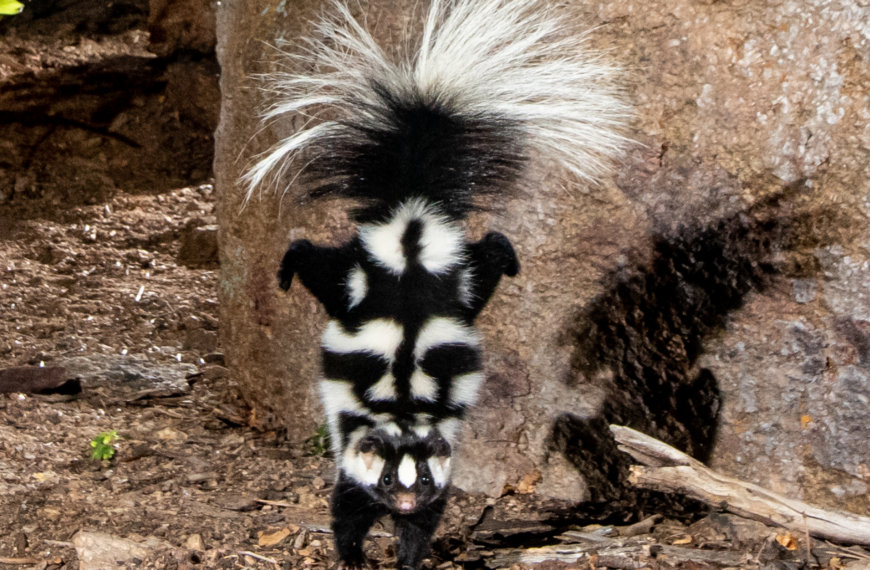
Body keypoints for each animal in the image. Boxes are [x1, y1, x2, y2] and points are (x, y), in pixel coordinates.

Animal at [242, 0, 632, 564]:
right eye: (387, 480)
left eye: (422, 481)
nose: (403, 502)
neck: (404, 414)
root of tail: (411, 224)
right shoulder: (354, 458)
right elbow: (346, 509)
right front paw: (354, 555)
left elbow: (424, 524)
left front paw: (407, 555)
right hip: (362, 280)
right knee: (318, 263)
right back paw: (286, 270)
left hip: (456, 281)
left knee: (487, 256)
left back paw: (510, 259)